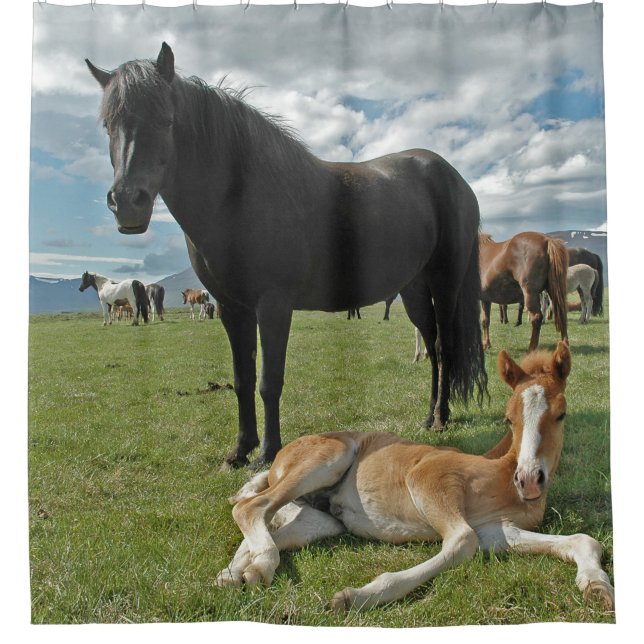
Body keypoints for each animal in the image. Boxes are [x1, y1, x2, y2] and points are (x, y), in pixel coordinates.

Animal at [87, 43, 487, 467]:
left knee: (443, 345)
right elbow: (242, 379)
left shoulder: (274, 303)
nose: (127, 203)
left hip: (445, 283)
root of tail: (456, 179)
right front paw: (240, 450)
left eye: (166, 121)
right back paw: (429, 417)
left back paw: (441, 418)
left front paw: (267, 453)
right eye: (109, 125)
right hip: (413, 289)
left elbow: (268, 381)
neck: (240, 195)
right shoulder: (232, 307)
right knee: (432, 346)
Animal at [215, 342, 614, 612]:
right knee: (251, 508)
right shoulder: (429, 479)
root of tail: (280, 458)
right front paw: (356, 596)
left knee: (267, 524)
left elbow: (583, 540)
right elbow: (462, 542)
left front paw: (597, 587)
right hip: (328, 459)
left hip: (319, 520)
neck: (500, 475)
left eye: (561, 414)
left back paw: (235, 574)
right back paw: (258, 569)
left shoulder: (498, 530)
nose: (529, 479)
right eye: (508, 418)